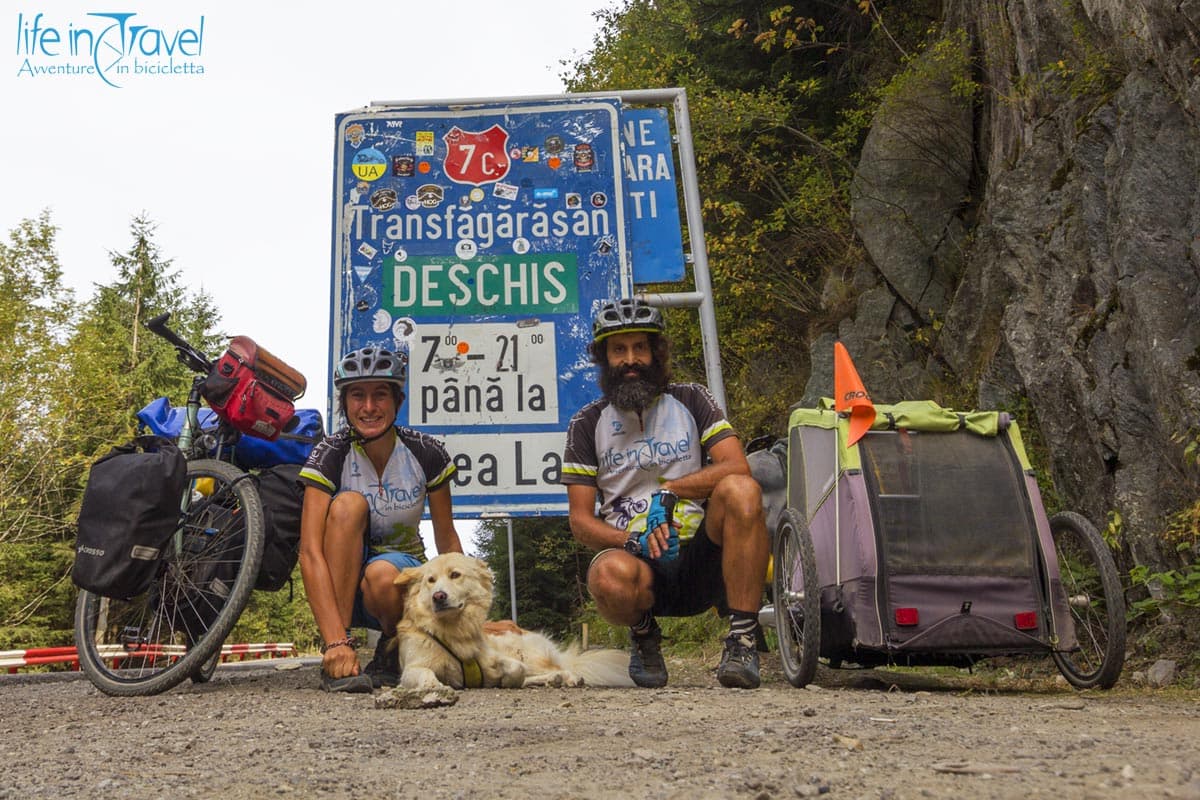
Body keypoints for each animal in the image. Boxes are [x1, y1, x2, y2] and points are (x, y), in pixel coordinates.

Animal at [393, 554, 638, 690]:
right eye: (430, 580)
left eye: (455, 575)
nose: (438, 596)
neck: (453, 632)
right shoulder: (412, 667)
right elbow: (424, 673)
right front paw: (431, 685)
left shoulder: (497, 657)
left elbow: (515, 669)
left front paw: (504, 680)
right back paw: (551, 680)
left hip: (525, 652)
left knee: (559, 668)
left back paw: (568, 677)